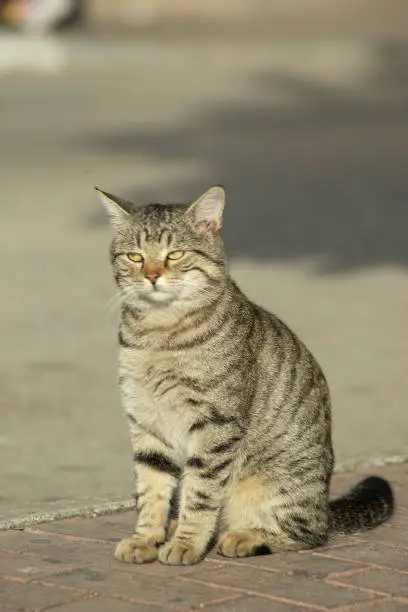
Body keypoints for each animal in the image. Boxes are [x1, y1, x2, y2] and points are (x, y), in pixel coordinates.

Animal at [95, 184, 392, 568]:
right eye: (134, 256)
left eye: (175, 254)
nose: (152, 275)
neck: (160, 334)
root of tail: (325, 507)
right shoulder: (146, 423)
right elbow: (151, 491)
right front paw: (146, 538)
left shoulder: (216, 424)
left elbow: (200, 494)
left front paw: (187, 543)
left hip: (275, 486)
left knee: (308, 533)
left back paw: (244, 537)